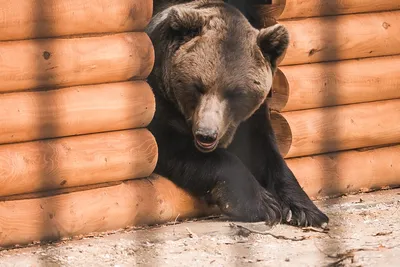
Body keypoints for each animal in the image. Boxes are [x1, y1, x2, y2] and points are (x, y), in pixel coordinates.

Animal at [144, 0, 328, 228]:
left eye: (235, 93)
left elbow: (266, 152)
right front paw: (264, 204)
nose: (206, 134)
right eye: (197, 86)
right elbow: (169, 144)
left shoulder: (251, 119)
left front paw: (305, 210)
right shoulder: (161, 101)